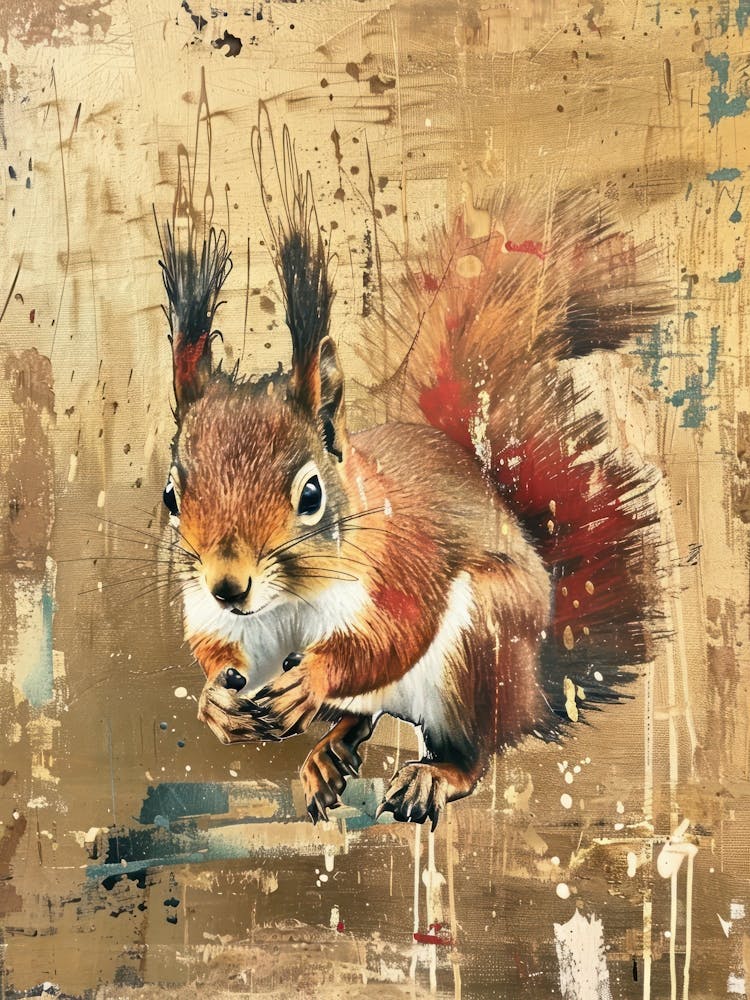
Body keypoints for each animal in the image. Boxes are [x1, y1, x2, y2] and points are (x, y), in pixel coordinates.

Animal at [158, 123, 664, 830]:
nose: (229, 585)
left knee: (473, 746)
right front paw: (215, 702)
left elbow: (393, 636)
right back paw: (328, 755)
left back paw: (434, 774)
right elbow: (215, 650)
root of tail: (539, 683)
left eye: (311, 493)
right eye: (172, 495)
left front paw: (312, 676)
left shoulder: (403, 564)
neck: (288, 601)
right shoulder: (218, 616)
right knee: (363, 717)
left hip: (479, 649)